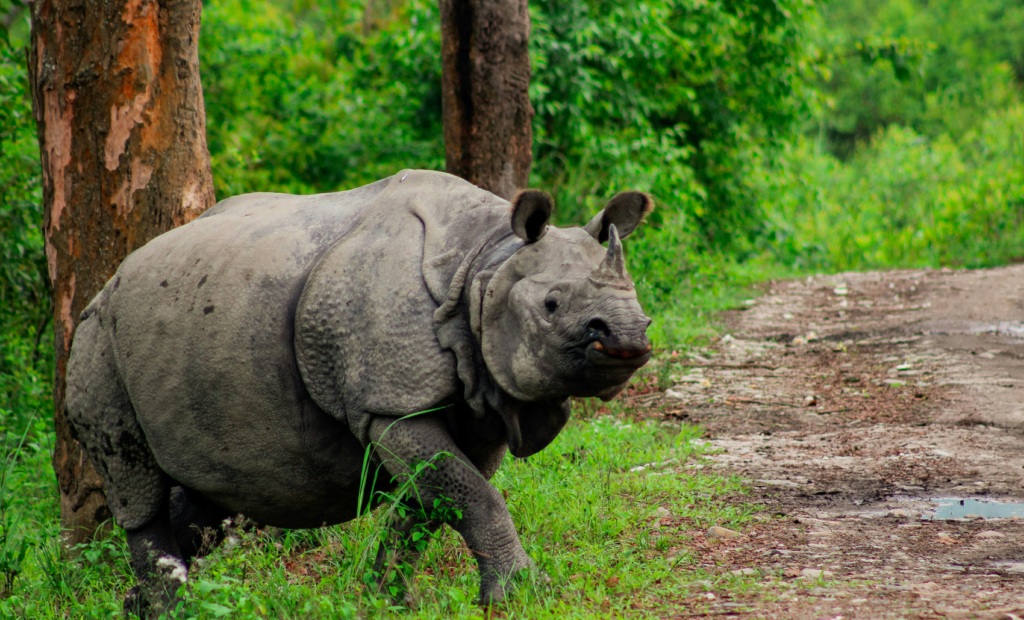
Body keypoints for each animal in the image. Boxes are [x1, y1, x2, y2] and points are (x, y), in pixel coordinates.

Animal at [65, 170, 652, 615]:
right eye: (552, 305)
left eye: (639, 300)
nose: (628, 336)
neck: (484, 265)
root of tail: (109, 282)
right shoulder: (389, 406)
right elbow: (472, 496)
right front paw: (522, 596)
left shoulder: (479, 406)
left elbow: (432, 502)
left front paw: (388, 601)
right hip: (97, 341)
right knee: (136, 482)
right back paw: (172, 608)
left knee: (200, 495)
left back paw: (138, 605)